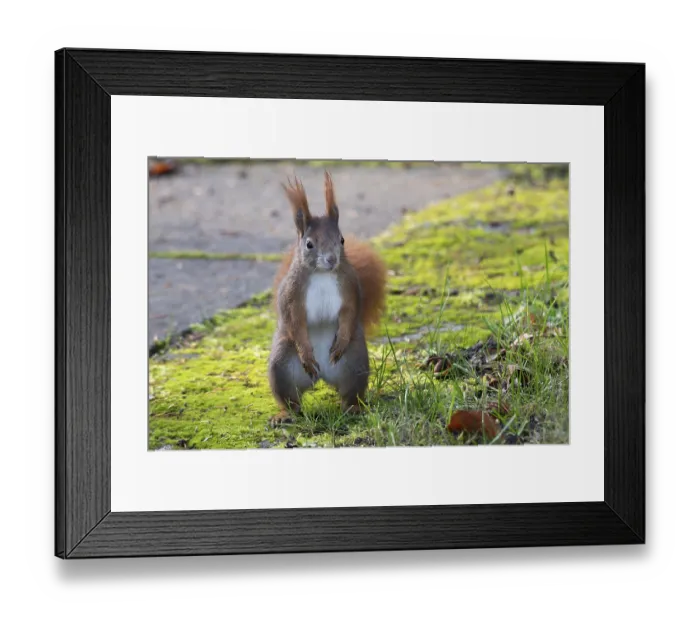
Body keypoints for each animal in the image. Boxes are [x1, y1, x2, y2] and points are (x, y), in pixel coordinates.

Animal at [267, 171, 387, 427]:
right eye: (309, 244)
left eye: (342, 240)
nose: (332, 259)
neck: (322, 274)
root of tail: (322, 377)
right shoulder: (292, 297)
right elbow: (295, 322)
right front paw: (306, 353)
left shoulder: (350, 289)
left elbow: (350, 313)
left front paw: (340, 342)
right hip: (282, 367)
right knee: (291, 400)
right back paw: (284, 415)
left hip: (355, 364)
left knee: (350, 393)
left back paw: (352, 408)